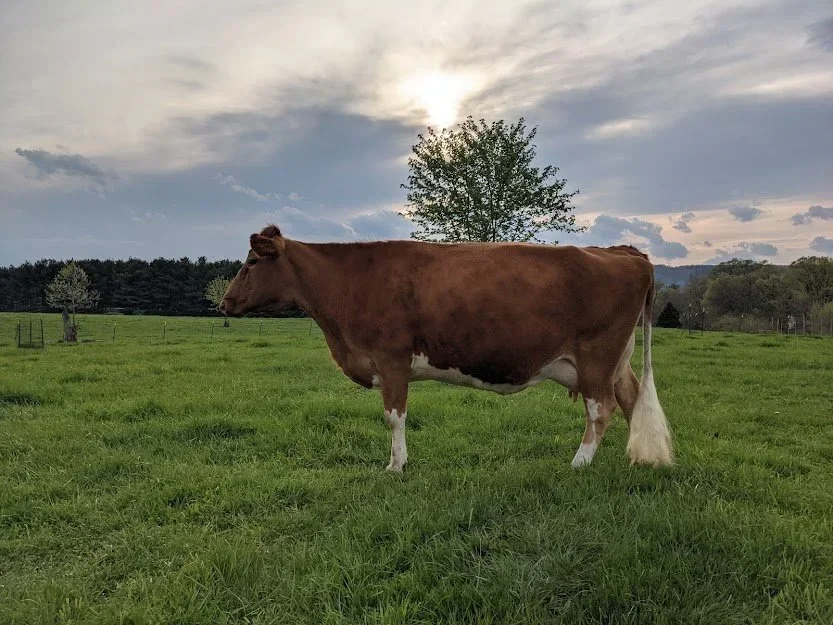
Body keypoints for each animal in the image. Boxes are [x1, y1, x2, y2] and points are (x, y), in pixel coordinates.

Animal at [220, 225, 674, 472]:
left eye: (252, 262)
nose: (224, 302)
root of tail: (625, 253)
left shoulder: (391, 357)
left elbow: (394, 417)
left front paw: (395, 465)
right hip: (616, 360)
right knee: (630, 399)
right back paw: (634, 458)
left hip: (597, 355)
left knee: (602, 409)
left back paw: (579, 463)